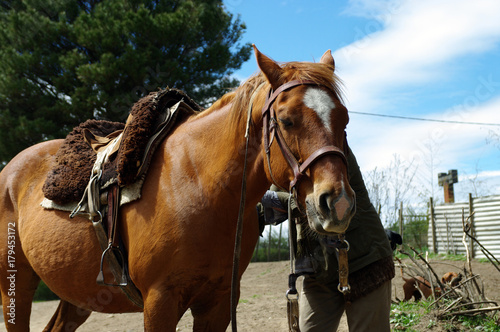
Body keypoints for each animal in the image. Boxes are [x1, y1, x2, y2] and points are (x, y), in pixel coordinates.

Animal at [0, 45, 356, 330]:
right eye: (285, 120)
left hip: (77, 295)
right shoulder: (160, 302)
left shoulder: (218, 303)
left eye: (344, 120)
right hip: (14, 288)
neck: (200, 185)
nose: (337, 203)